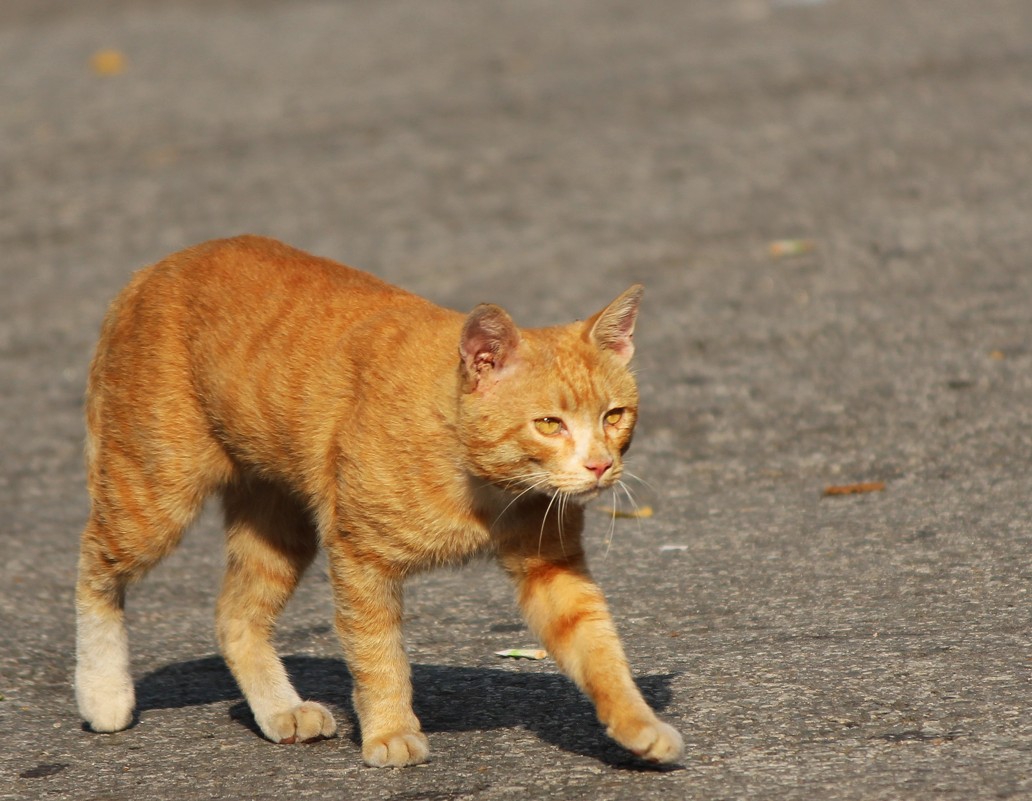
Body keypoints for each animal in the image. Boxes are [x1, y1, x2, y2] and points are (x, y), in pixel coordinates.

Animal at [74, 234, 685, 767]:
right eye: (550, 424)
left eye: (614, 416)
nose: (600, 465)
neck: (489, 489)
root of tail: (154, 268)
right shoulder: (361, 558)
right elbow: (378, 655)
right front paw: (390, 732)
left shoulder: (552, 569)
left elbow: (599, 648)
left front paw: (639, 724)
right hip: (155, 496)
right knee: (93, 567)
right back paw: (103, 693)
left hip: (278, 527)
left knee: (234, 617)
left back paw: (280, 709)